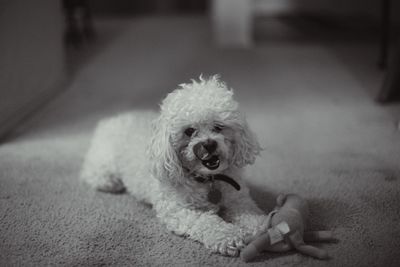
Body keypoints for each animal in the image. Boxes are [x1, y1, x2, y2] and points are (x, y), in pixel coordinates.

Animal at [81, 75, 276, 258]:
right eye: (189, 131)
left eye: (218, 127)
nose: (209, 144)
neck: (207, 179)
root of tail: (112, 119)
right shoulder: (178, 210)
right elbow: (207, 221)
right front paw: (227, 236)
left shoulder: (238, 199)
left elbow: (249, 213)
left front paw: (263, 225)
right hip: (103, 162)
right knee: (93, 173)